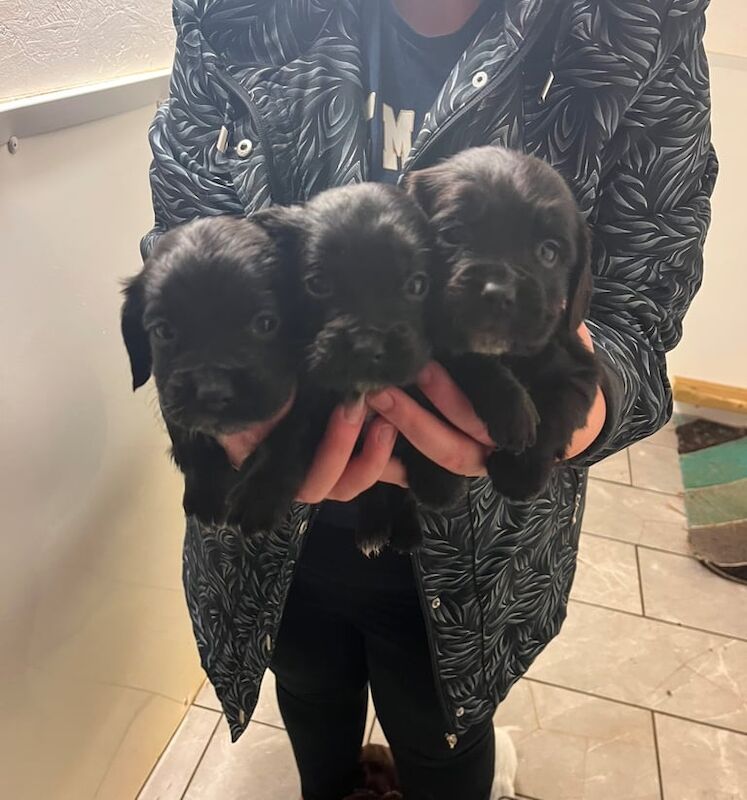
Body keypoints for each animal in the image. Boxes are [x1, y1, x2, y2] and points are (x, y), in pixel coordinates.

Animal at [121, 216, 314, 536]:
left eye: (265, 323)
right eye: (163, 331)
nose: (212, 391)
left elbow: (292, 432)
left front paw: (259, 494)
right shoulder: (170, 396)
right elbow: (188, 434)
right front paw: (205, 489)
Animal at [404, 145, 600, 500]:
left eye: (549, 252)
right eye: (454, 233)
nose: (498, 293)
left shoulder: (581, 368)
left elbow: (559, 410)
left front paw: (520, 471)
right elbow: (464, 362)